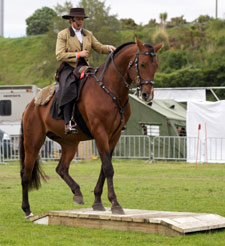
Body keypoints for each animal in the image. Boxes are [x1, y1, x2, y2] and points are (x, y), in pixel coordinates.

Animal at [19, 37, 162, 218]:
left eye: (155, 65)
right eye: (142, 64)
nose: (147, 94)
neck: (109, 90)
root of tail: (31, 105)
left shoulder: (113, 136)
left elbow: (104, 167)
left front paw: (98, 202)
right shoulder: (100, 133)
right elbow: (108, 168)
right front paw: (115, 204)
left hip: (70, 144)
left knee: (61, 168)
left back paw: (77, 193)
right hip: (33, 142)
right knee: (26, 173)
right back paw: (27, 209)